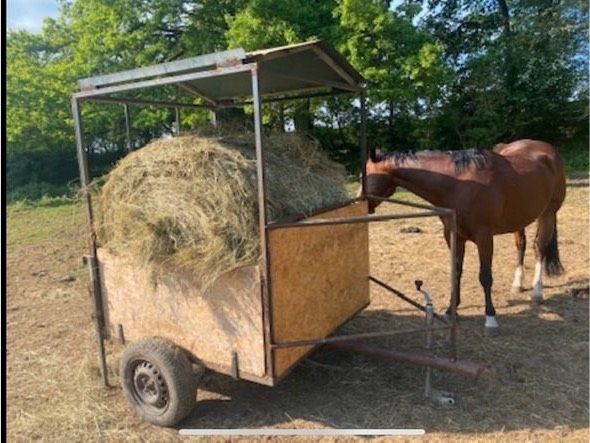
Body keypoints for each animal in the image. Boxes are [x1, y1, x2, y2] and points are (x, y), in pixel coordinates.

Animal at [366, 140, 568, 334]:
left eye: (366, 176)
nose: (362, 203)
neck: (459, 185)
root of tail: (548, 150)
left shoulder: (484, 238)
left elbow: (485, 277)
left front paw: (490, 319)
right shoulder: (454, 236)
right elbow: (456, 272)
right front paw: (451, 310)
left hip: (548, 213)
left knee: (539, 248)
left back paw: (537, 292)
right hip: (520, 216)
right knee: (521, 244)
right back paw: (518, 284)